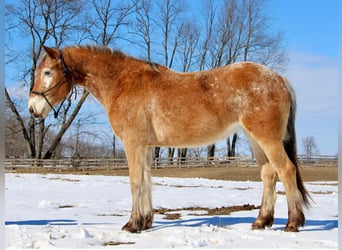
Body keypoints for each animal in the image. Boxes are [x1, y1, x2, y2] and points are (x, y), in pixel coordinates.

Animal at [27, 44, 310, 232]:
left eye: (48, 72)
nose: (32, 108)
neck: (122, 83)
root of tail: (278, 78)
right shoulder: (146, 147)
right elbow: (147, 181)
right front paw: (145, 221)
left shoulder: (133, 144)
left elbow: (135, 182)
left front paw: (132, 224)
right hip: (255, 139)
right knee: (268, 173)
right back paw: (261, 221)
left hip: (267, 139)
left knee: (286, 170)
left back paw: (293, 223)